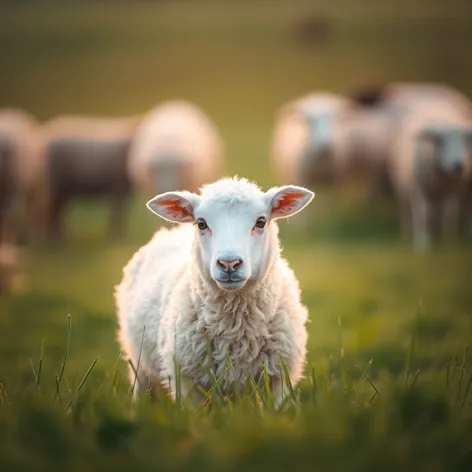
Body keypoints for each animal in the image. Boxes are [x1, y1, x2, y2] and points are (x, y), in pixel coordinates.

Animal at [39, 114, 141, 243]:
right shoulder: (118, 187)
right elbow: (118, 214)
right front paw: (117, 238)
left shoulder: (120, 191)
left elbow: (119, 215)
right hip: (57, 186)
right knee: (52, 212)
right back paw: (56, 240)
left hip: (63, 191)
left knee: (55, 212)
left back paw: (59, 239)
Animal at [114, 175, 314, 408]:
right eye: (201, 223)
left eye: (261, 222)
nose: (229, 263)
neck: (235, 327)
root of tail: (172, 231)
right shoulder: (186, 381)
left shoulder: (278, 380)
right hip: (138, 364)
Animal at [388, 102, 472, 253]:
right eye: (440, 141)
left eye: (464, 141)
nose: (458, 166)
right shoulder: (419, 191)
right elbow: (423, 213)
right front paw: (422, 244)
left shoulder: (454, 191)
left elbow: (450, 214)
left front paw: (448, 241)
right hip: (402, 186)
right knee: (406, 209)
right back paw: (407, 234)